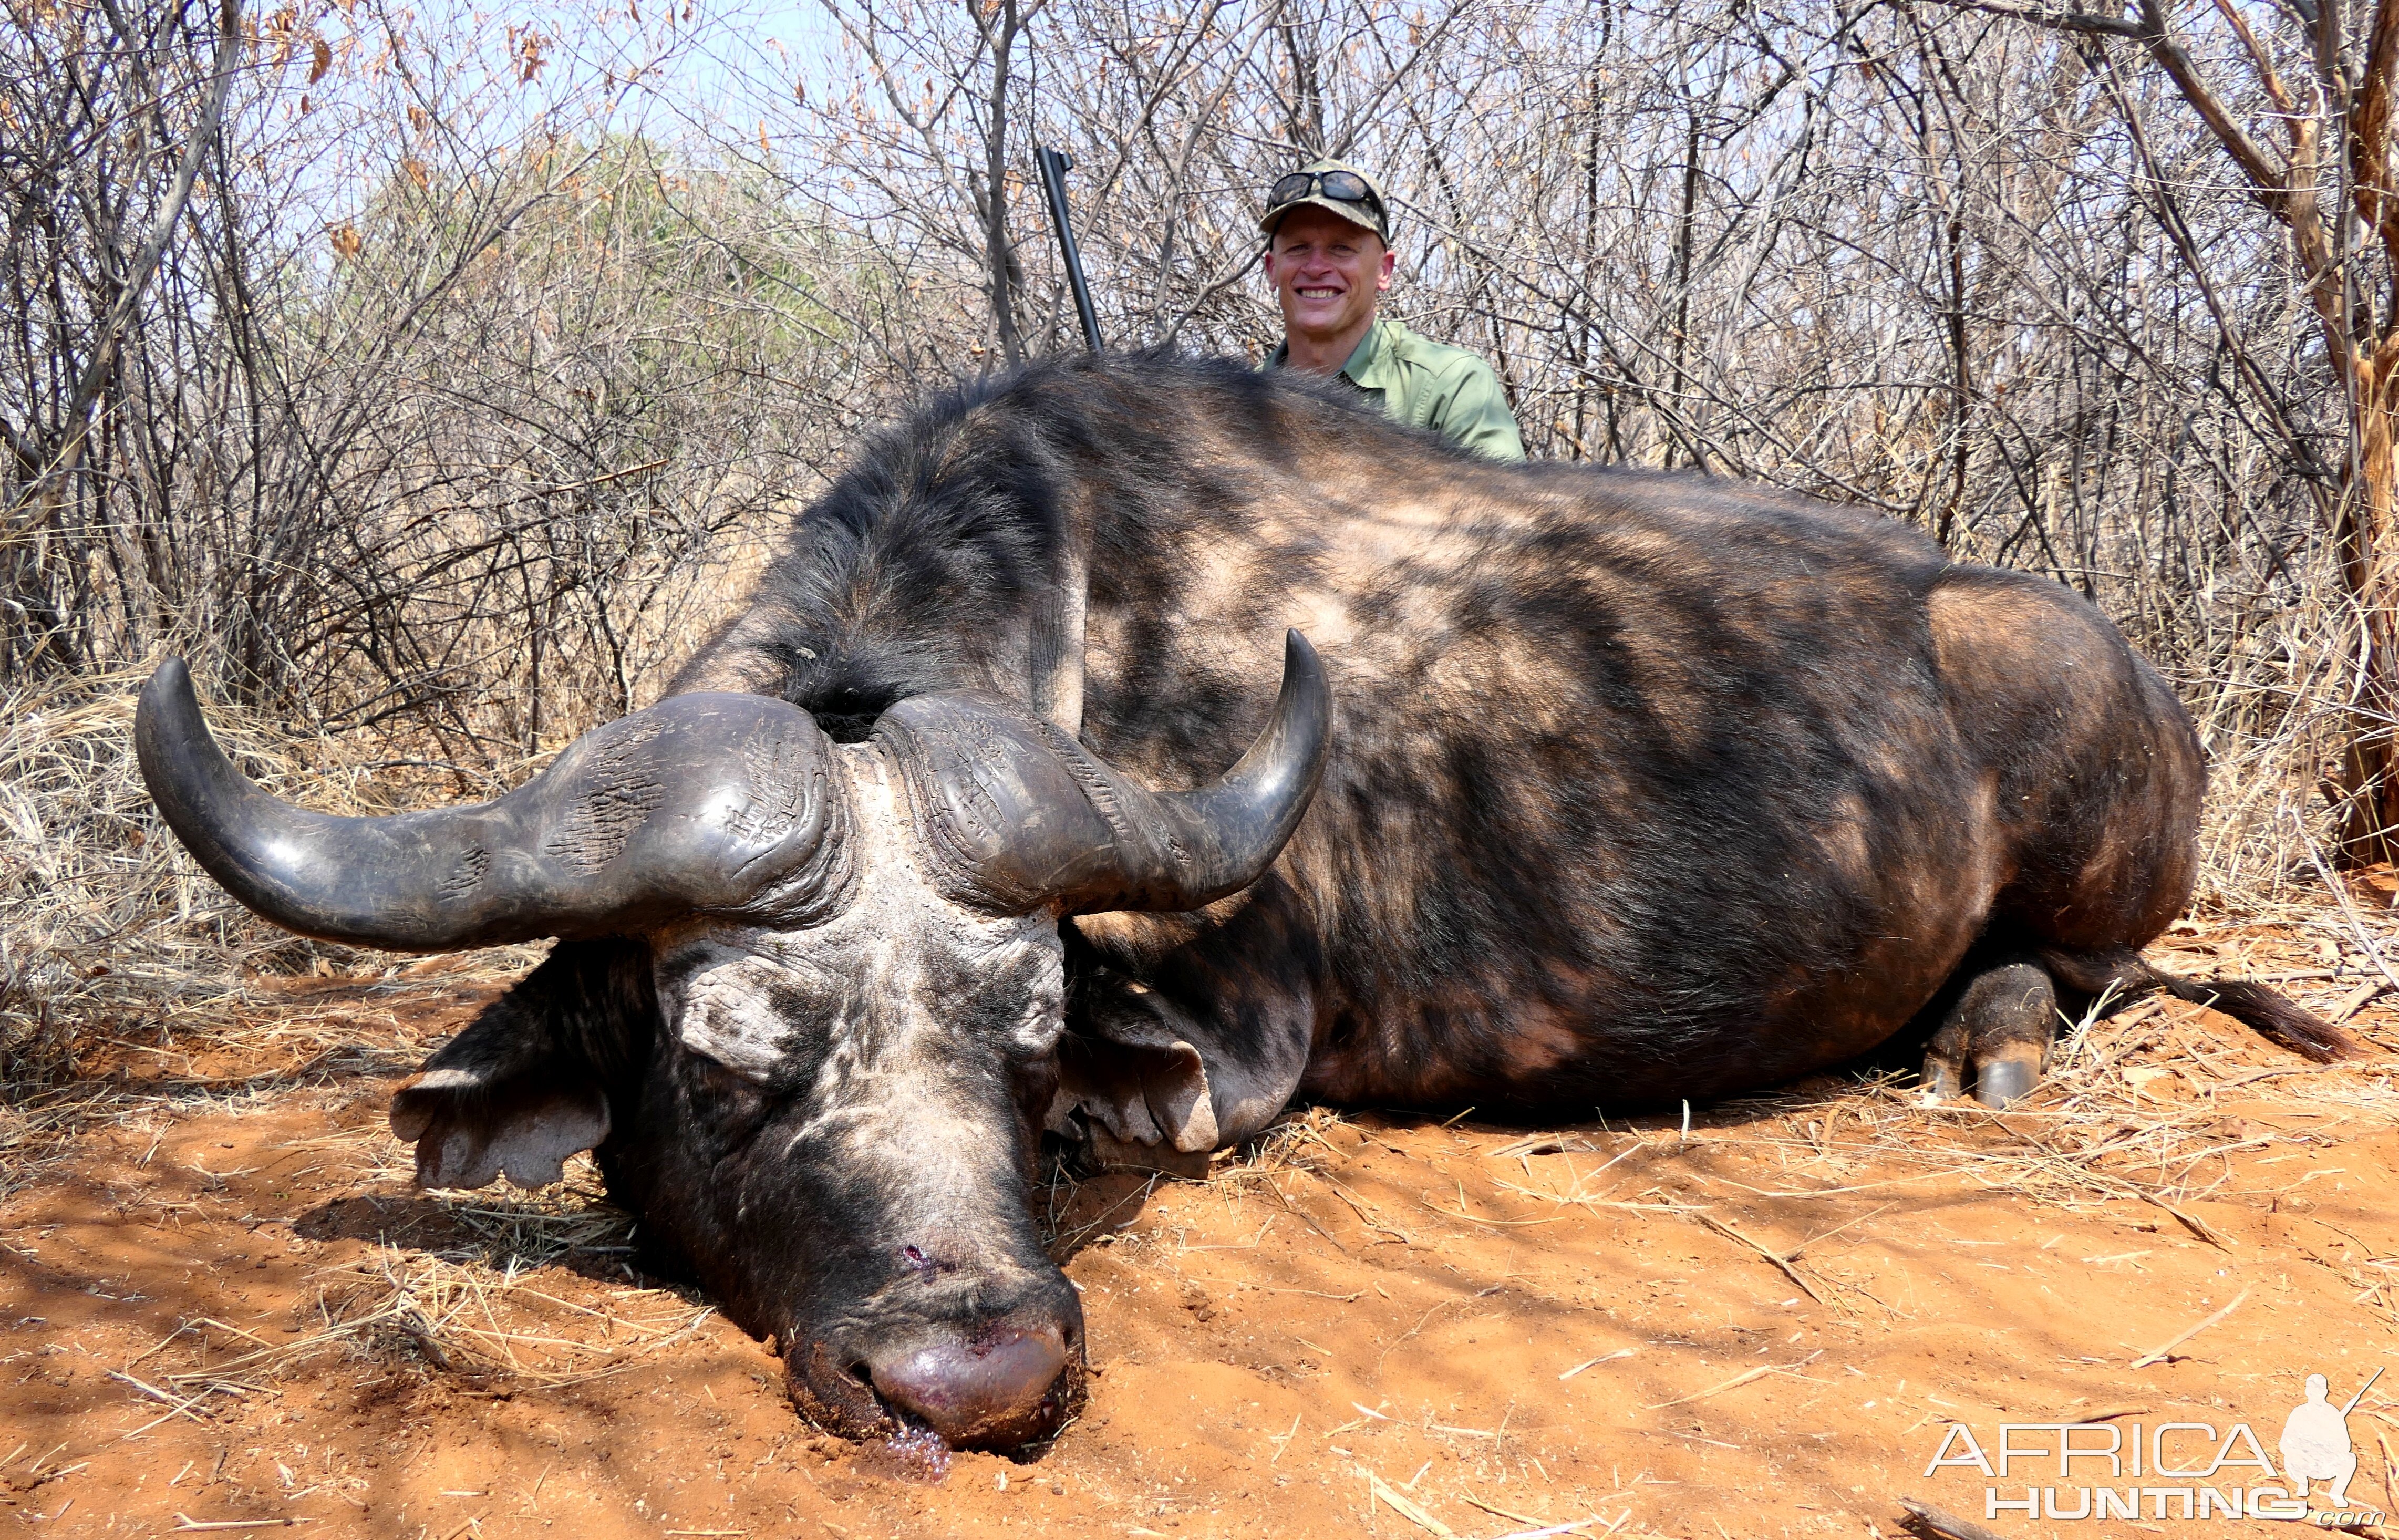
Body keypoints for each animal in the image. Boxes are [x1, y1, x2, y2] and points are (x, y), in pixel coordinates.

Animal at [136, 347, 2360, 1449]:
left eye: (1033, 1045)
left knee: (2089, 964)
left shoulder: (1238, 1052)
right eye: (721, 1061)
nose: (972, 1376)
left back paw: (1990, 1041)